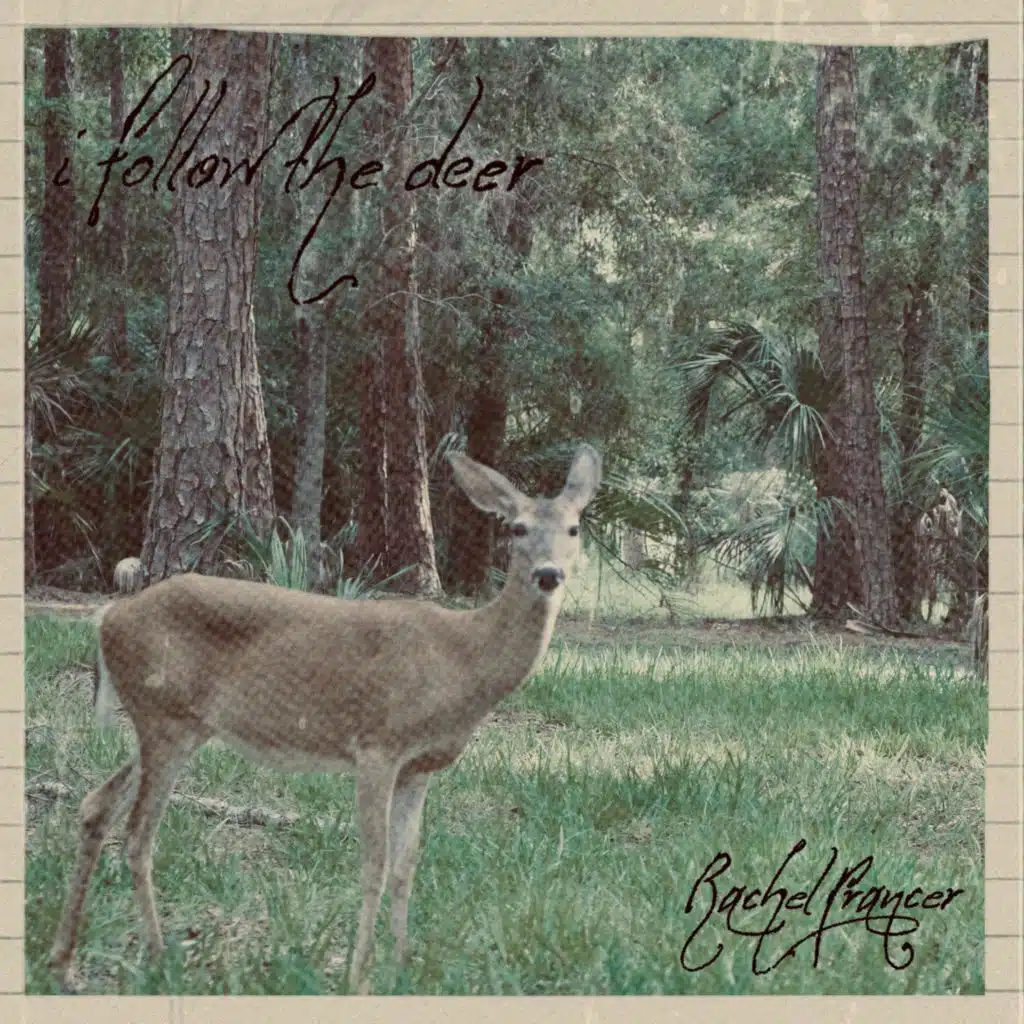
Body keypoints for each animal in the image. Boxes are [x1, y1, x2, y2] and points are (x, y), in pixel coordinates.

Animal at [48, 444, 602, 993]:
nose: (548, 575)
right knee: (138, 835)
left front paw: (400, 967)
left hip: (175, 724)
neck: (461, 659)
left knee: (97, 805)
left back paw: (63, 960)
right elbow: (374, 863)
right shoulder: (378, 744)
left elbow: (406, 866)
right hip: (164, 716)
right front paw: (359, 976)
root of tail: (106, 618)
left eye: (575, 527)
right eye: (517, 528)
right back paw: (159, 959)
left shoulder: (419, 769)